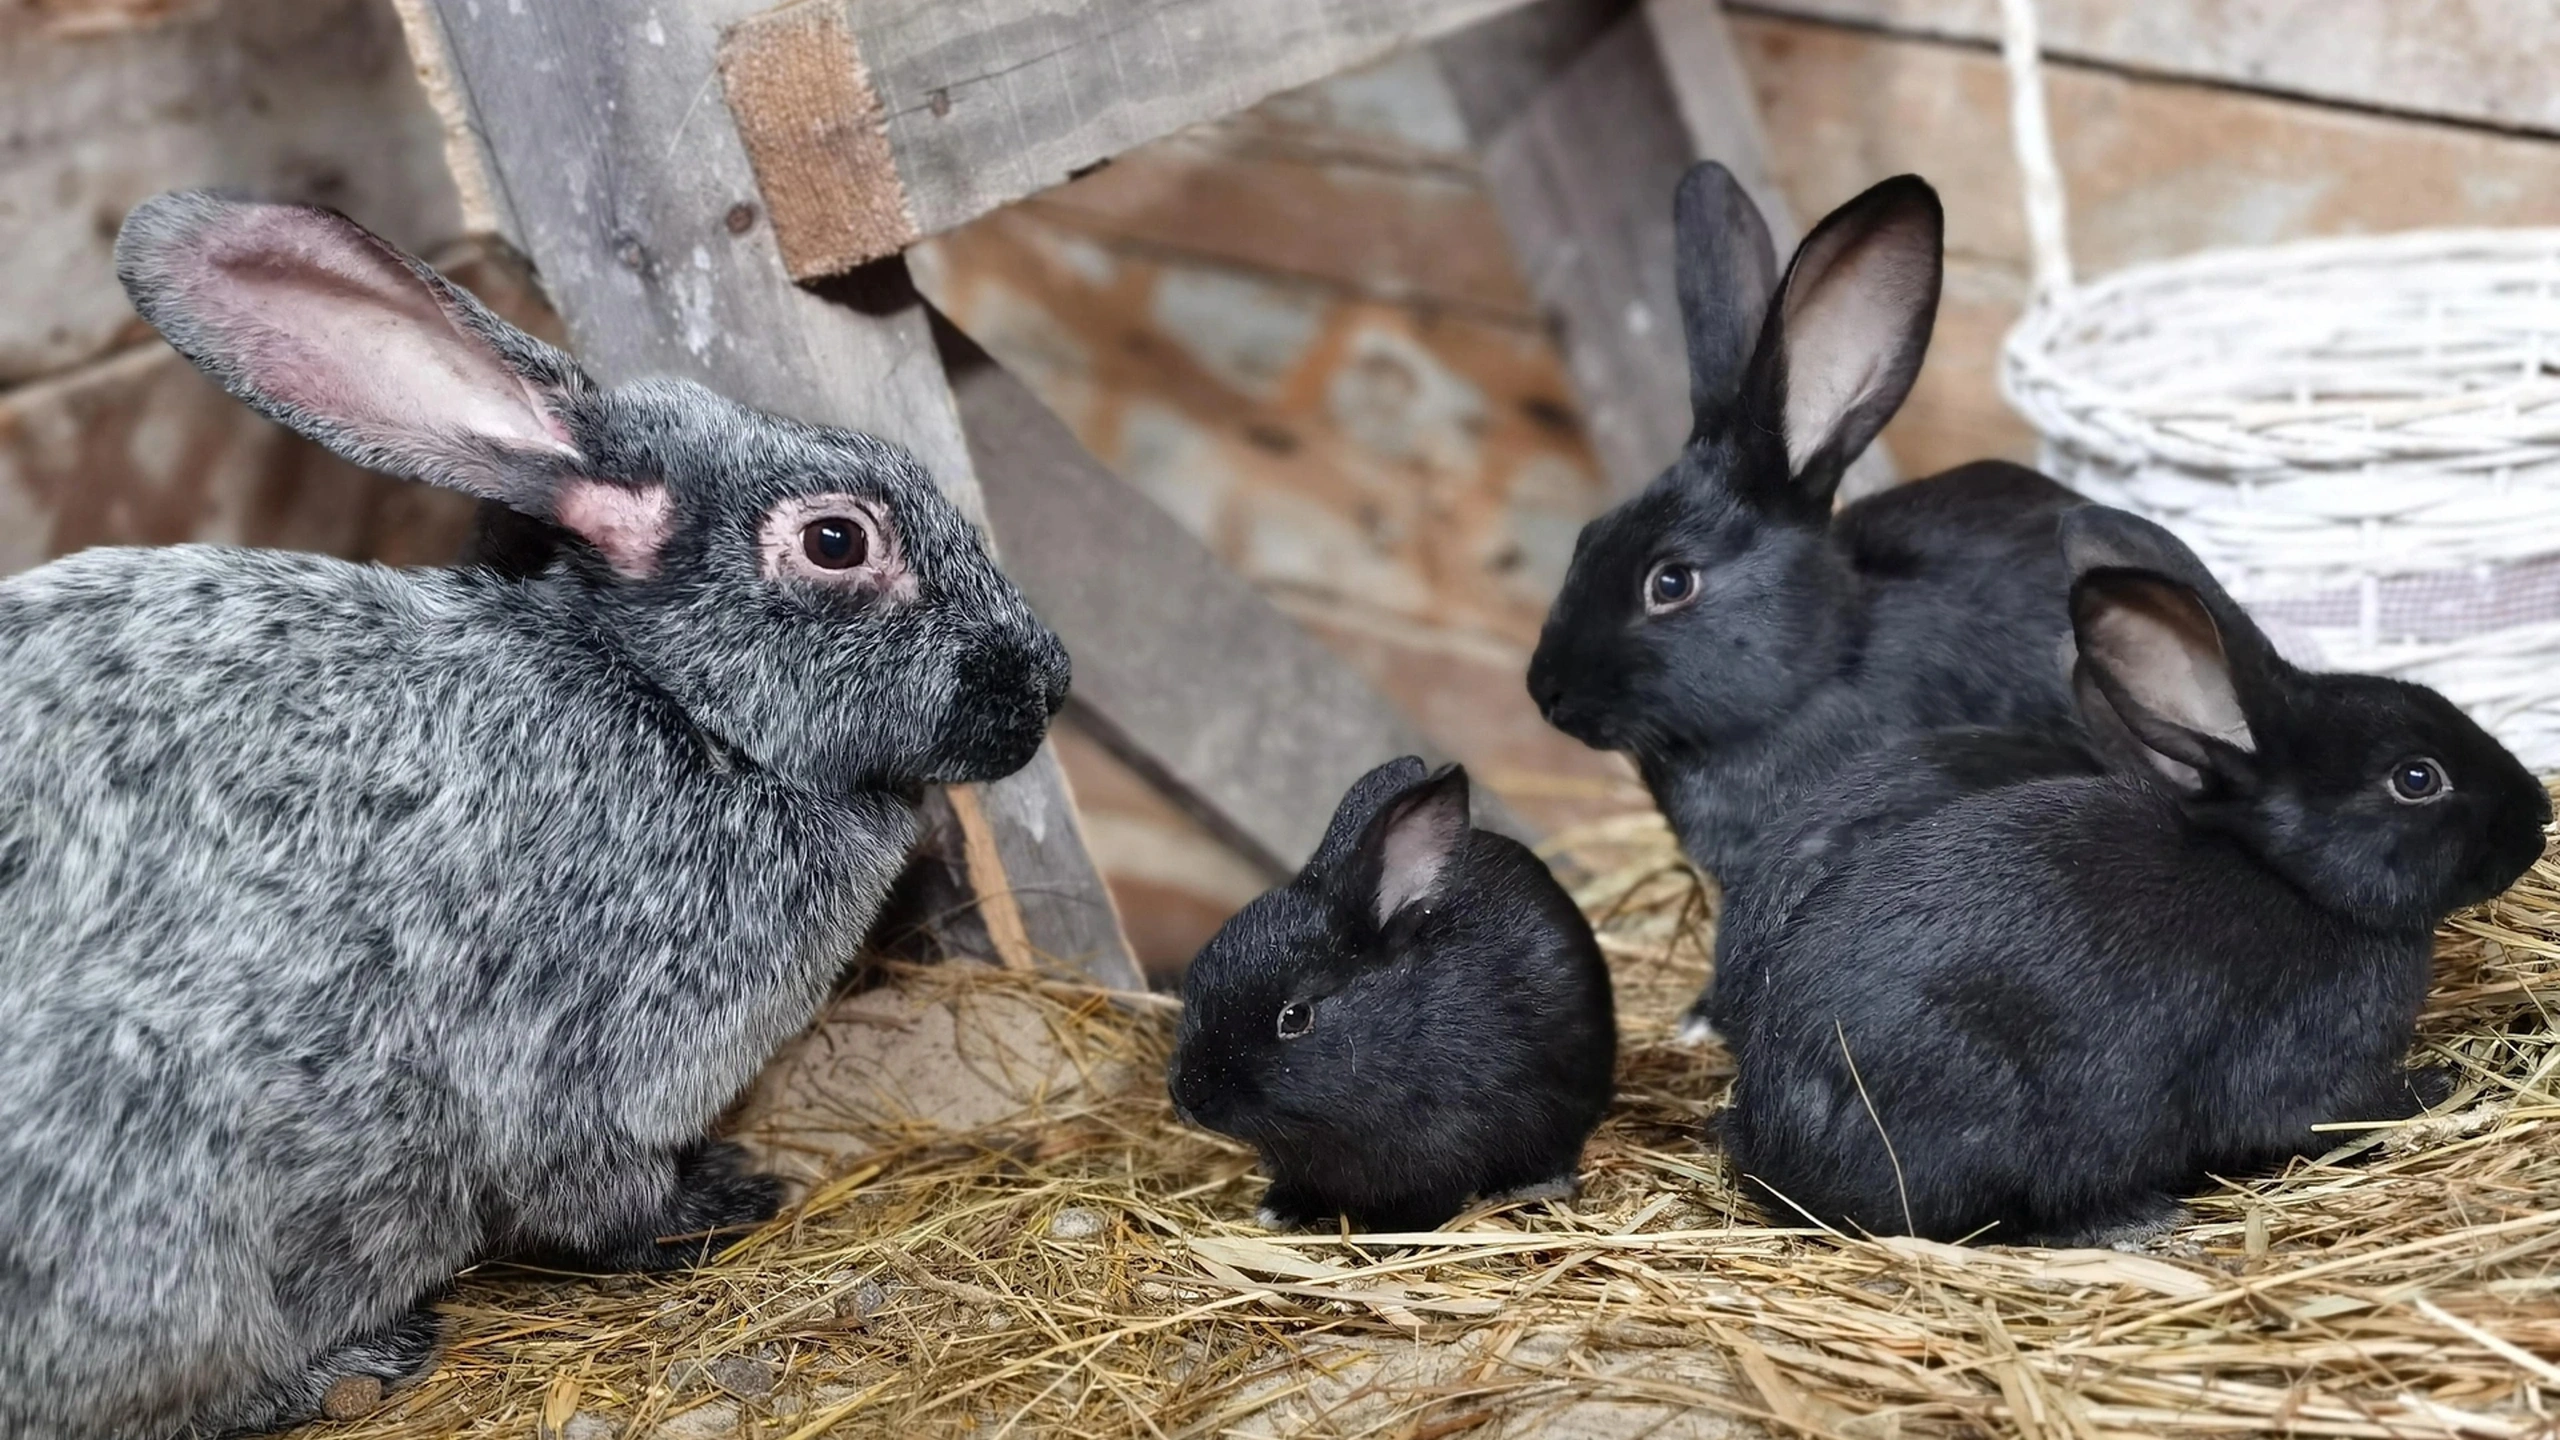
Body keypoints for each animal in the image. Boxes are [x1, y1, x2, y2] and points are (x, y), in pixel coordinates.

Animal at [0, 193, 1070, 1434]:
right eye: (836, 540)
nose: (1048, 684)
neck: (676, 702)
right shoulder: (581, 1065)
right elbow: (595, 1193)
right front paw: (723, 1198)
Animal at [1710, 507, 2549, 1245]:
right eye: (2417, 777)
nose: (2539, 817)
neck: (2293, 878)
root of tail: (1773, 1146)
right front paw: (2436, 1088)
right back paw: (2129, 1219)